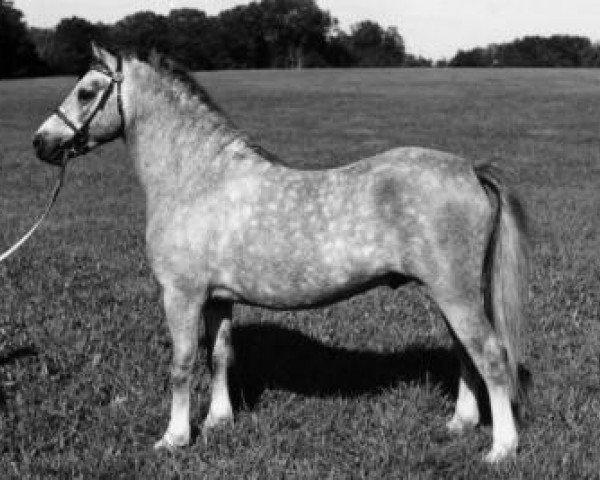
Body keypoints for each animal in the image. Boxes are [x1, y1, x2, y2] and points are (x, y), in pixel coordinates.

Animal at [34, 44, 528, 462]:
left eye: (86, 91)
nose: (41, 142)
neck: (197, 178)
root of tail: (469, 169)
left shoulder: (181, 295)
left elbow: (182, 364)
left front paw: (174, 438)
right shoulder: (218, 298)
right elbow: (220, 355)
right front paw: (218, 421)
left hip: (455, 294)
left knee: (489, 356)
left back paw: (501, 449)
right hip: (449, 294)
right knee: (466, 354)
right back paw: (460, 424)